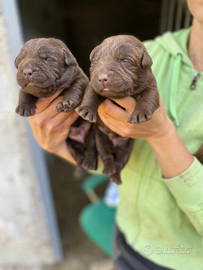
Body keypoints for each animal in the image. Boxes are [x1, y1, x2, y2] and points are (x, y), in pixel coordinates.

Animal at [14, 38, 97, 171]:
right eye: (21, 60)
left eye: (47, 59)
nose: (26, 72)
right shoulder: (27, 87)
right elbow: (24, 92)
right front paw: (24, 107)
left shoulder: (80, 77)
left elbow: (75, 88)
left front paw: (66, 104)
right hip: (69, 141)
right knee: (77, 153)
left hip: (91, 132)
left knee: (91, 147)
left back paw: (88, 163)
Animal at [76, 35, 160, 184]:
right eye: (97, 61)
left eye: (125, 61)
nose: (102, 78)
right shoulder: (93, 83)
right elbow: (91, 94)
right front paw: (86, 110)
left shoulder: (151, 85)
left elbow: (148, 98)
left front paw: (140, 114)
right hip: (100, 139)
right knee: (106, 155)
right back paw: (108, 169)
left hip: (127, 147)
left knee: (120, 162)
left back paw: (115, 176)